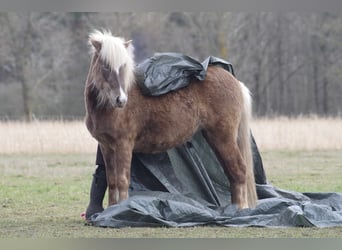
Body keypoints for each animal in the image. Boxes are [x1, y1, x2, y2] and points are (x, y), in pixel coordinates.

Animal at [84, 28, 258, 209]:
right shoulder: (107, 146)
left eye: (123, 66)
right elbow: (112, 182)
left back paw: (238, 209)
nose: (121, 100)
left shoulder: (123, 144)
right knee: (232, 172)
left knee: (239, 171)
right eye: (105, 66)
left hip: (224, 137)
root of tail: (236, 83)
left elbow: (122, 181)